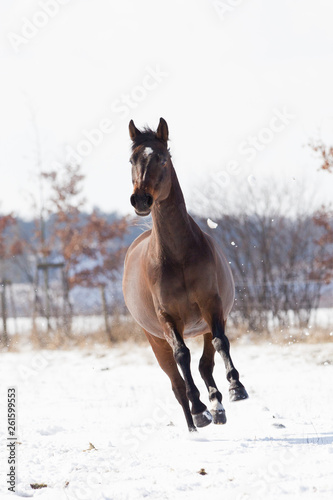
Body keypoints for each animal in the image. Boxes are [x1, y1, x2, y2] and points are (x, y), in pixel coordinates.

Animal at [122, 118, 246, 434]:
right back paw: (195, 423)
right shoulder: (167, 319)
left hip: (203, 324)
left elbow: (220, 344)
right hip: (155, 340)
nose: (141, 199)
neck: (177, 256)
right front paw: (200, 409)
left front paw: (235, 389)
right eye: (132, 160)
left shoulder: (211, 305)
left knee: (204, 364)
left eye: (162, 159)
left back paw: (217, 406)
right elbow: (182, 356)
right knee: (177, 383)